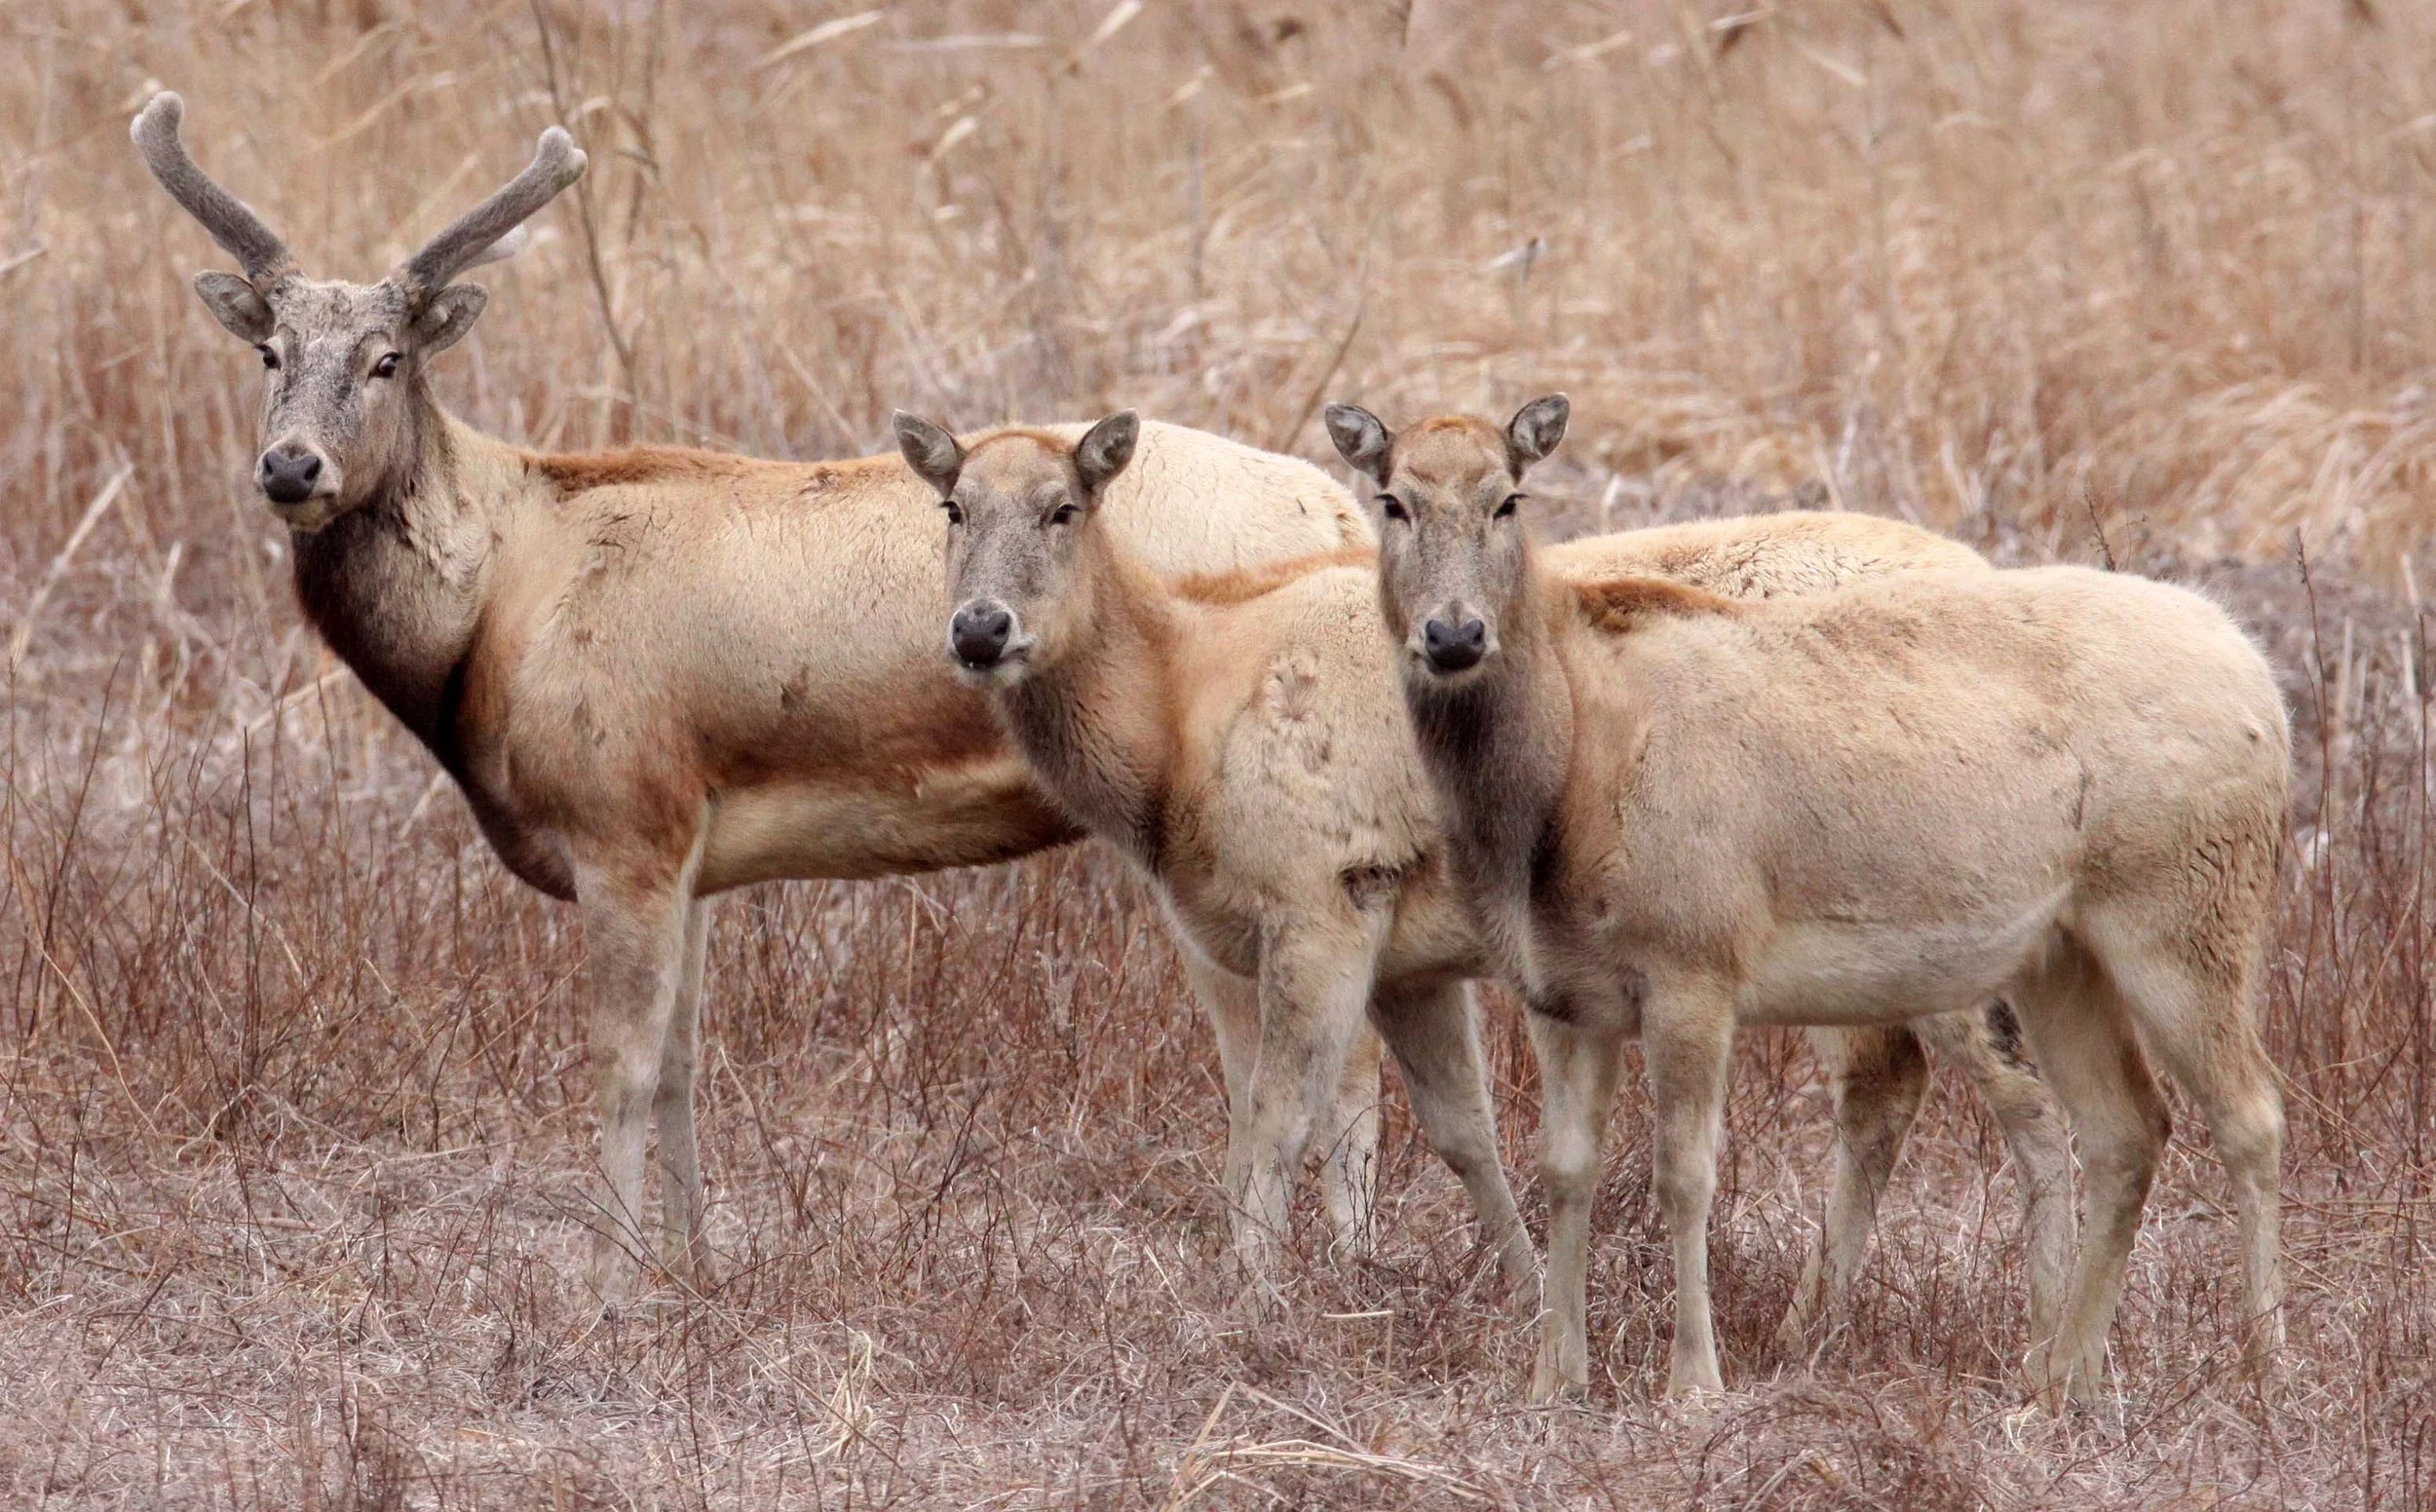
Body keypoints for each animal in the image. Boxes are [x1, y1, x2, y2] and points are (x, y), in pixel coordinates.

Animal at [131, 92, 1381, 1303]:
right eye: (270, 352)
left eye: (387, 358)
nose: (291, 467)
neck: (500, 601)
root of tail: (1345, 514)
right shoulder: (687, 843)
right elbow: (684, 1064)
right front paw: (692, 1270)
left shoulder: (621, 811)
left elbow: (622, 1065)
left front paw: (606, 1291)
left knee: (1324, 1052)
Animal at [896, 410, 2073, 1354]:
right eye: (952, 507)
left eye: (1062, 508)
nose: (980, 629)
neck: (1179, 718)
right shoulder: (1405, 959)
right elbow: (1463, 1131)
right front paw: (1524, 1295)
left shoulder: (1324, 891)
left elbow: (1279, 1116)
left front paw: (1246, 1309)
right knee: (1892, 1083)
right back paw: (1810, 1327)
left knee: (2017, 1096)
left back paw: (2040, 1341)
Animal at [1336, 393, 2289, 1412]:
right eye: (1393, 500)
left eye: (1509, 499)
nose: (1454, 636)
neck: (1561, 794)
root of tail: (2265, 688)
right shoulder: (1557, 993)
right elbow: (1562, 1170)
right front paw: (1555, 1377)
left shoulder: (1695, 963)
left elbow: (1686, 1174)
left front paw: (1695, 1382)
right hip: (2059, 955)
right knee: (2125, 1129)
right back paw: (2061, 1381)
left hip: (2189, 910)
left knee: (2250, 1112)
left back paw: (2264, 1367)